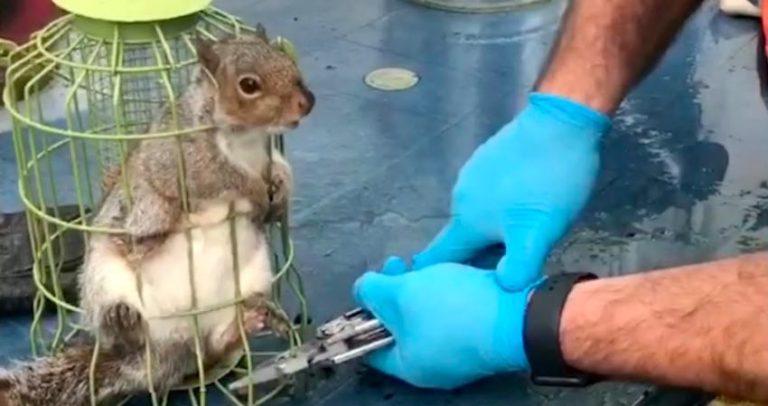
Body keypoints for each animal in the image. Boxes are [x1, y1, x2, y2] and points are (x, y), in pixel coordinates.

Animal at [0, 24, 314, 406]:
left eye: (285, 59)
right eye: (249, 84)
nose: (307, 102)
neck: (247, 142)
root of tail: (168, 350)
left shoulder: (269, 156)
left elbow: (282, 171)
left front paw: (280, 194)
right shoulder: (186, 162)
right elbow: (225, 178)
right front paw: (255, 192)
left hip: (252, 277)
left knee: (214, 347)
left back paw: (250, 321)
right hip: (104, 281)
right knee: (122, 334)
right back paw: (124, 322)